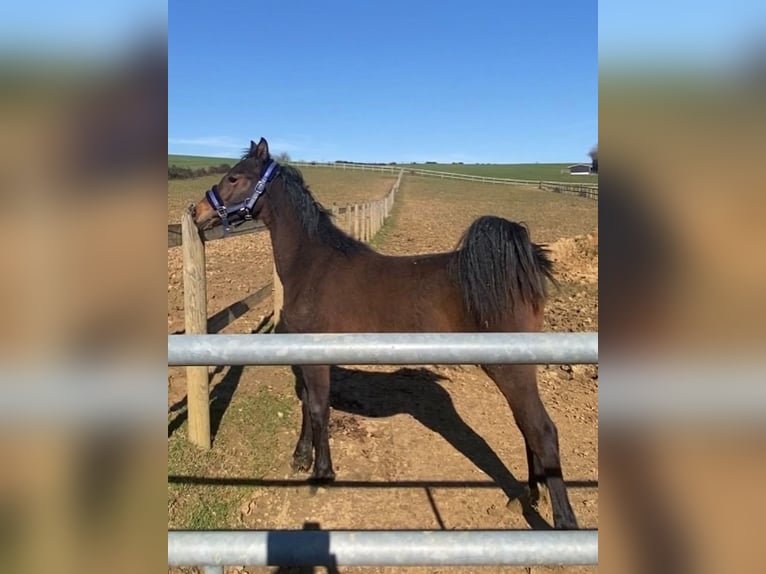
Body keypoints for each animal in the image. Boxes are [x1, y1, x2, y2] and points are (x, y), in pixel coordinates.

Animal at [192, 137, 578, 529]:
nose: (197, 212)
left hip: (510, 370)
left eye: (234, 177)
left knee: (542, 430)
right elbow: (306, 404)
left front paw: (322, 472)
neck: (313, 265)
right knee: (526, 426)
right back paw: (529, 494)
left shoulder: (317, 359)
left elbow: (318, 409)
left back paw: (563, 520)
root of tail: (522, 269)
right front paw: (301, 458)